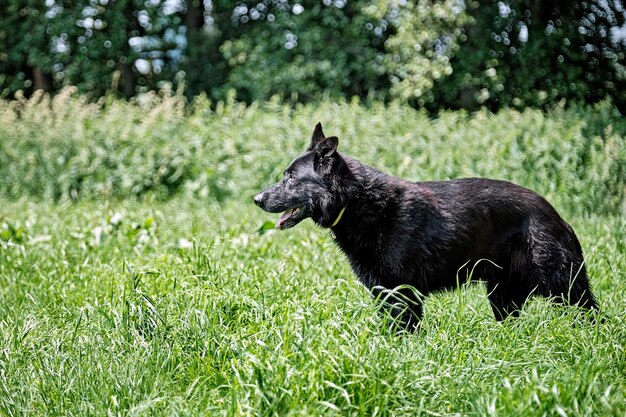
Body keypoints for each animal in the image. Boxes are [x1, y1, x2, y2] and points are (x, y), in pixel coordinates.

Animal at [252, 122, 596, 330]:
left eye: (290, 178)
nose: (257, 199)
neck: (359, 202)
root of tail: (556, 214)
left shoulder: (403, 295)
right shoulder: (385, 293)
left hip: (563, 288)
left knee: (590, 315)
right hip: (503, 296)